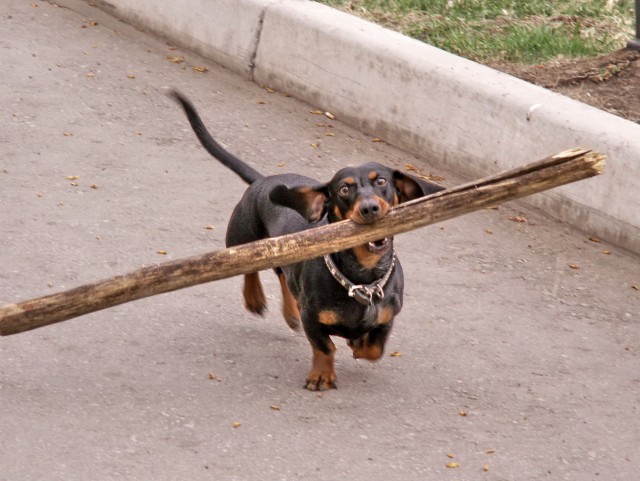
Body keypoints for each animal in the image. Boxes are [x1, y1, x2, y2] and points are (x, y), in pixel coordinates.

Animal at [172, 91, 448, 390]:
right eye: (344, 189)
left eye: (381, 181)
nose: (369, 208)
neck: (362, 276)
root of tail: (263, 180)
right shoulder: (312, 319)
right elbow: (325, 347)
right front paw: (321, 375)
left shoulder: (387, 317)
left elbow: (373, 348)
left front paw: (358, 343)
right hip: (242, 238)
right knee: (249, 267)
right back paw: (255, 298)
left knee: (283, 276)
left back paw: (290, 311)